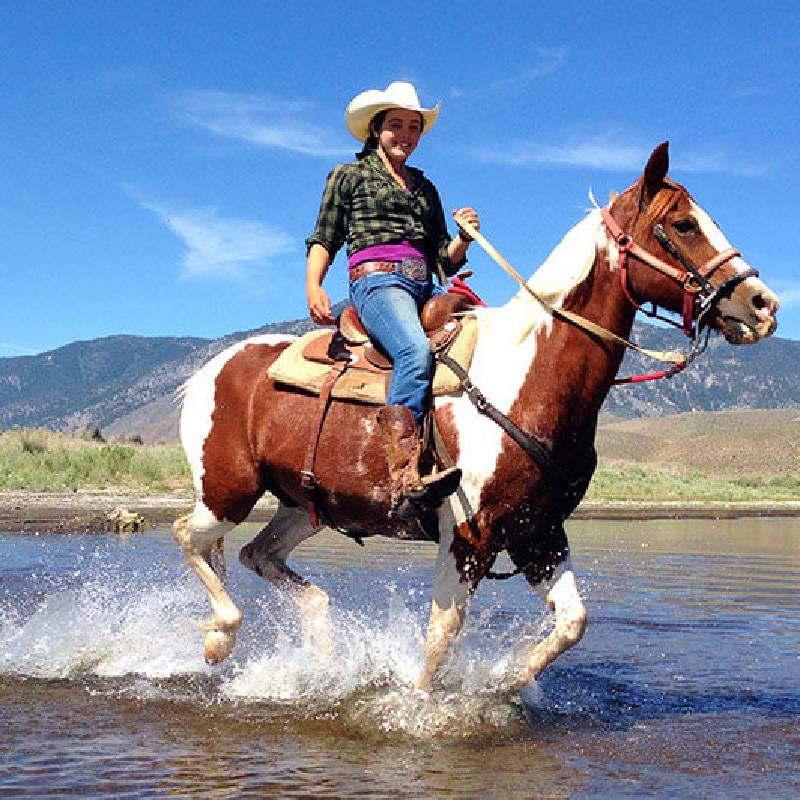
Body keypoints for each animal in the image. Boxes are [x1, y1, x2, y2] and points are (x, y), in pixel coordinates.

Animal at [172, 145, 780, 692]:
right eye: (683, 224)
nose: (763, 304)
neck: (526, 380)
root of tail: (209, 370)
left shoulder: (539, 532)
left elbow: (572, 623)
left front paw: (506, 681)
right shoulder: (468, 535)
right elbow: (440, 638)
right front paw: (420, 709)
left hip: (306, 504)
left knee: (257, 554)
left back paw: (317, 651)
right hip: (229, 492)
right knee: (189, 535)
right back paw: (219, 640)